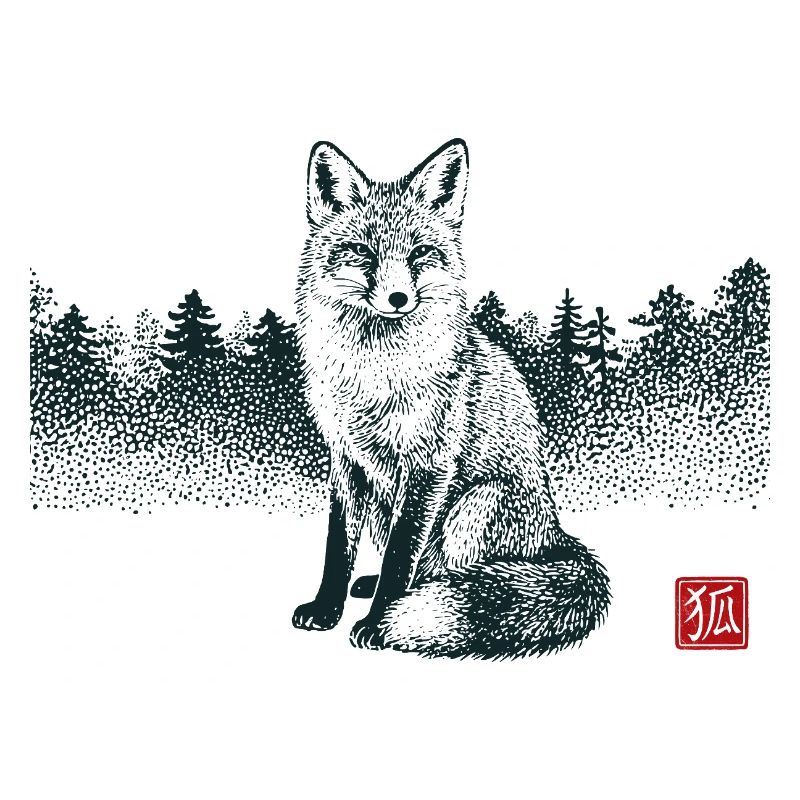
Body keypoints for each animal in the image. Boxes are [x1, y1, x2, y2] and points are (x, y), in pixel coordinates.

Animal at [292, 138, 610, 658]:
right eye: (362, 252)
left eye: (421, 253)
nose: (398, 298)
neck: (375, 377)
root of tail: (556, 536)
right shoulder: (346, 461)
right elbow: (338, 551)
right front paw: (326, 609)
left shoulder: (428, 468)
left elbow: (400, 560)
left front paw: (379, 624)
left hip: (472, 506)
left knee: (448, 573)